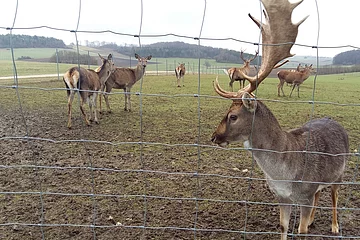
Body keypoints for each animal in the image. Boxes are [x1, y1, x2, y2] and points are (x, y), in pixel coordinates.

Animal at [210, 0, 348, 239]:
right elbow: (283, 226)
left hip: (339, 173)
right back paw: (315, 220)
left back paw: (335, 226)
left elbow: (301, 231)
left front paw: (312, 226)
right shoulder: (281, 195)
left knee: (334, 196)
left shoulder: (305, 193)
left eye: (233, 116)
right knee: (321, 194)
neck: (284, 173)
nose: (214, 137)